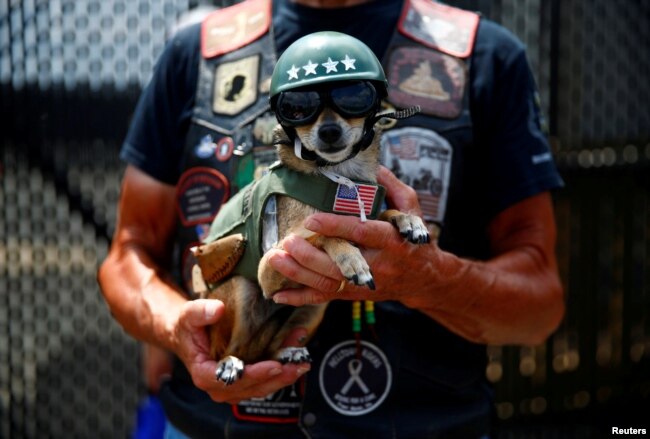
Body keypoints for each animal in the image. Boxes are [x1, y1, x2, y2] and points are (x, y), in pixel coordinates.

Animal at [190, 80, 428, 384]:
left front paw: (409, 220)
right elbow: (322, 234)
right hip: (239, 291)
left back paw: (287, 352)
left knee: (267, 351)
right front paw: (350, 257)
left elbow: (385, 215)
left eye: (355, 98)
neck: (341, 179)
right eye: (297, 108)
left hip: (314, 307)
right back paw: (229, 363)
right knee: (227, 349)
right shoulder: (270, 265)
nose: (329, 130)